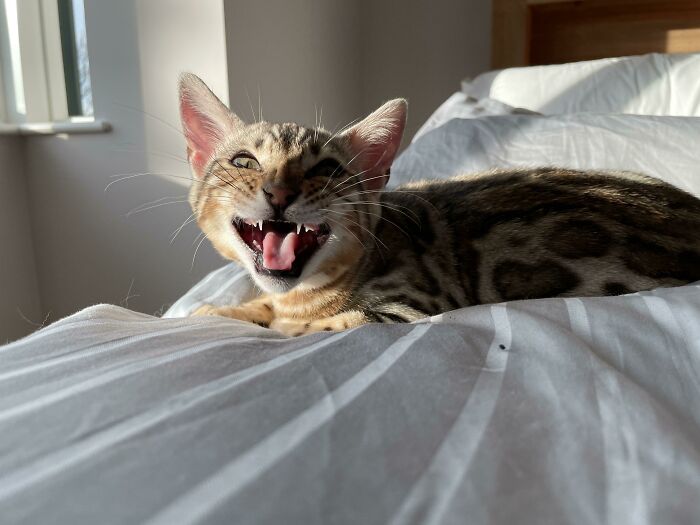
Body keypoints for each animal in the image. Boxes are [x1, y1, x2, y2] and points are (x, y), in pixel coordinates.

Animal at [176, 72, 700, 336]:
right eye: (244, 160)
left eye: (327, 169)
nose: (279, 192)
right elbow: (255, 306)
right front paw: (213, 311)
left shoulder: (412, 307)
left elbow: (309, 327)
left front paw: (281, 325)